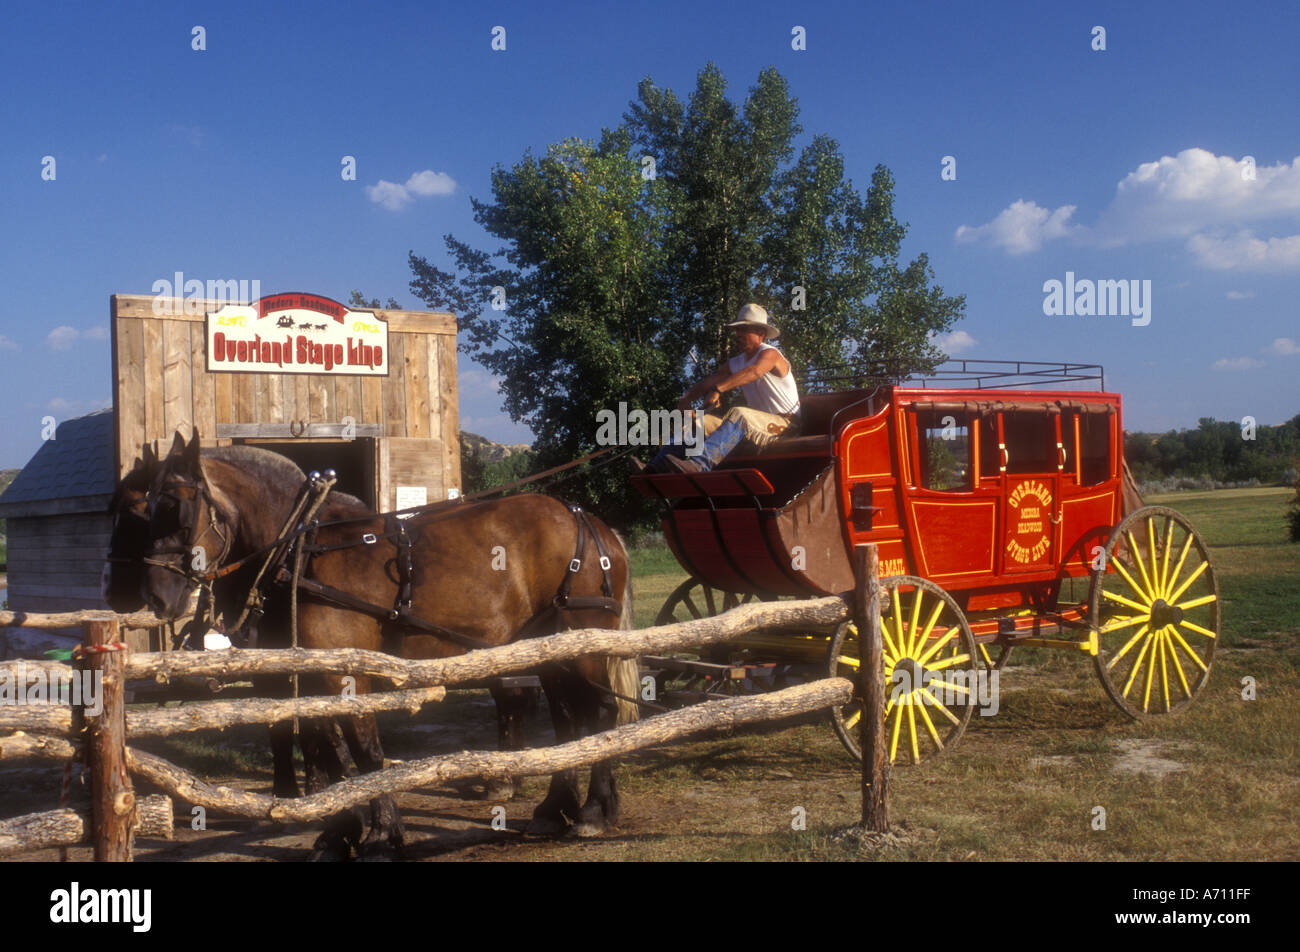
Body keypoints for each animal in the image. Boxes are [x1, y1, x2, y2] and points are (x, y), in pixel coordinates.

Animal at [134, 431, 637, 853]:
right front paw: (339, 833)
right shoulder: (314, 670)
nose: (157, 597)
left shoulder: (344, 670)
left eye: (178, 509)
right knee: (568, 722)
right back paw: (555, 810)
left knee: (601, 713)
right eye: (146, 510)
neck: (305, 550)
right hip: (549, 648)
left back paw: (594, 812)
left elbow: (362, 747)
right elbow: (328, 746)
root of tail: (593, 524)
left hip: (583, 640)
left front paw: (380, 834)